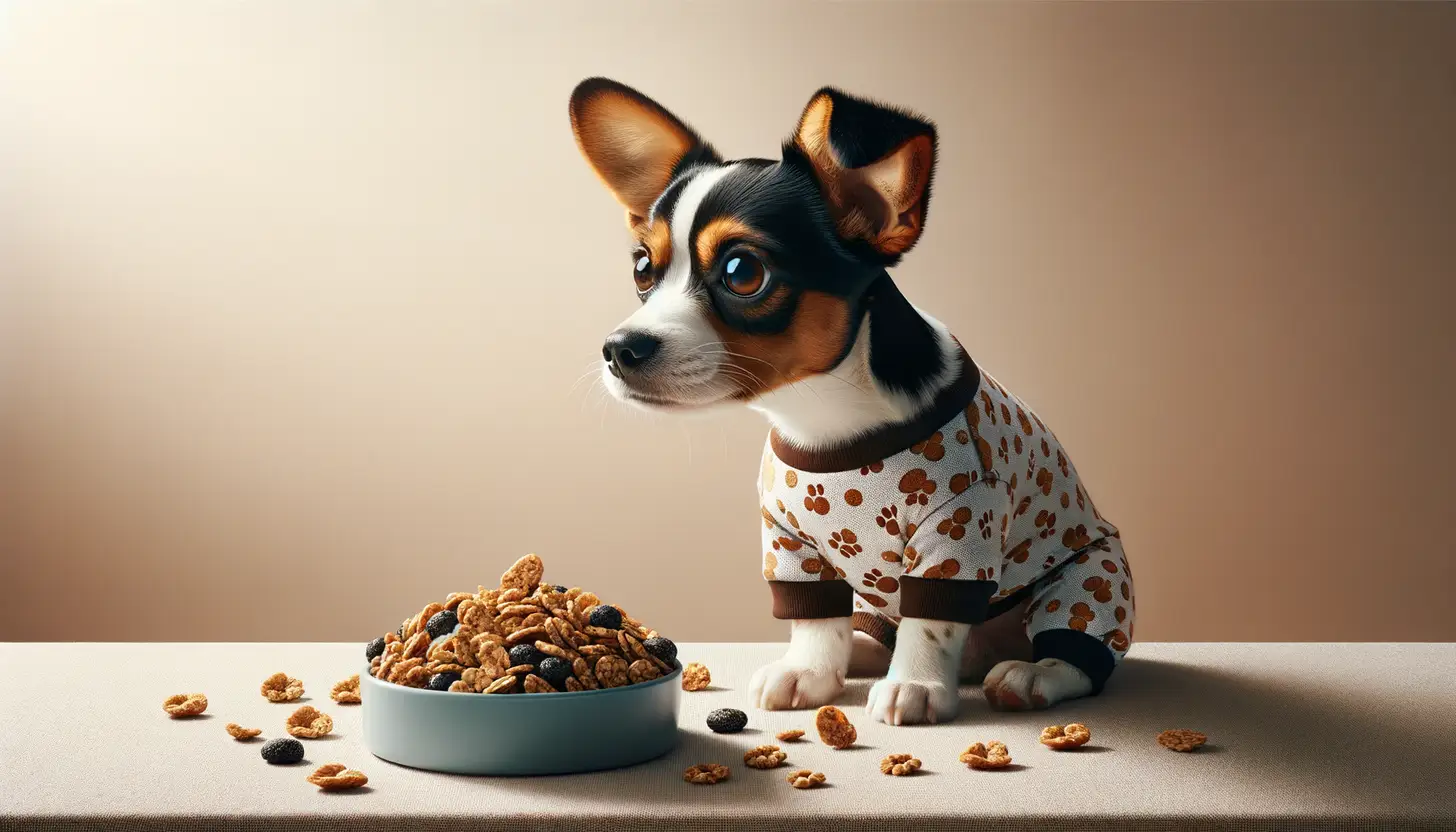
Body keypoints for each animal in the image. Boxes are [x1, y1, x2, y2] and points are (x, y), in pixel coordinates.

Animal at [567, 79, 1135, 728]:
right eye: (643, 268)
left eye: (742, 271)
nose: (619, 348)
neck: (824, 419)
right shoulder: (790, 542)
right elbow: (816, 620)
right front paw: (810, 672)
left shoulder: (958, 534)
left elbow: (931, 621)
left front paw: (915, 685)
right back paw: (864, 651)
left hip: (1091, 575)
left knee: (1077, 650)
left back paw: (1030, 673)